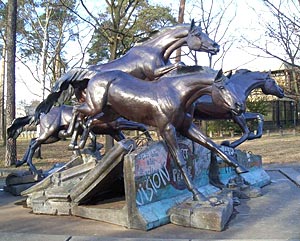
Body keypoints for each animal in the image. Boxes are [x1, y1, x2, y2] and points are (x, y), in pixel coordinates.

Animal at [62, 66, 246, 201]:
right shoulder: (167, 129)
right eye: (221, 87)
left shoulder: (186, 127)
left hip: (109, 114)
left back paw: (79, 143)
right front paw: (198, 194)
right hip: (95, 107)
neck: (178, 94)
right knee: (77, 111)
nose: (240, 107)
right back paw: (72, 141)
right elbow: (179, 160)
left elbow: (212, 145)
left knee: (88, 121)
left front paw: (240, 168)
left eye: (232, 86)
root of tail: (93, 78)